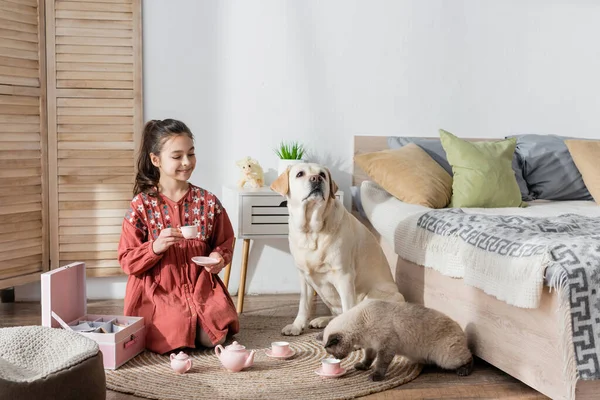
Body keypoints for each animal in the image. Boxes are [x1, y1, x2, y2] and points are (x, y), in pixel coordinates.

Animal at [270, 162, 404, 334]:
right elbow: (303, 305)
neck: (311, 230)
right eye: (300, 174)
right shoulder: (304, 276)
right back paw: (323, 320)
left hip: (375, 295)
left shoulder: (344, 275)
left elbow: (348, 307)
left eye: (322, 174)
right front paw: (297, 326)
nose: (316, 178)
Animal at [322, 300, 472, 382]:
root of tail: (461, 330)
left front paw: (375, 376)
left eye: (333, 353)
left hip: (447, 358)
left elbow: (380, 364)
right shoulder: (372, 346)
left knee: (469, 357)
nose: (338, 358)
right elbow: (368, 359)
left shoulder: (386, 346)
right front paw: (363, 366)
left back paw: (463, 371)